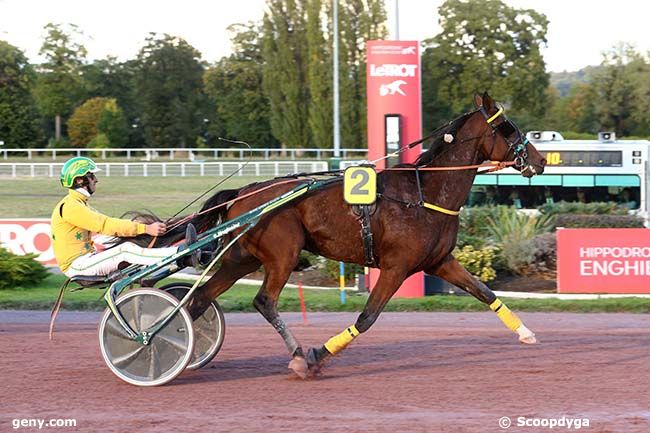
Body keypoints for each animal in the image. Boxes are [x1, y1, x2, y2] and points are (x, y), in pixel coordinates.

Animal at [132, 92, 540, 378]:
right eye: (510, 127)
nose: (538, 159)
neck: (425, 193)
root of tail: (244, 194)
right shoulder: (396, 266)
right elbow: (367, 317)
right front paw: (316, 356)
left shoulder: (439, 261)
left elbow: (485, 293)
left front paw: (526, 333)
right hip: (284, 252)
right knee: (264, 301)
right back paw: (295, 352)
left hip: (240, 257)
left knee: (200, 298)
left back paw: (171, 346)